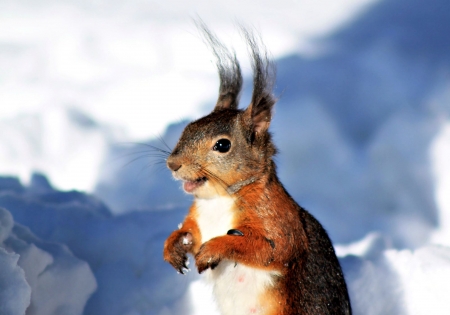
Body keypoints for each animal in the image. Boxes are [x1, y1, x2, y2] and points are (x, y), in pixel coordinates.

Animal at [162, 24, 352, 315]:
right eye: (188, 127)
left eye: (223, 145)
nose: (173, 163)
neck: (218, 200)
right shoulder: (198, 218)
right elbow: (189, 231)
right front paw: (174, 245)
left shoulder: (279, 220)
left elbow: (271, 249)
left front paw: (213, 249)